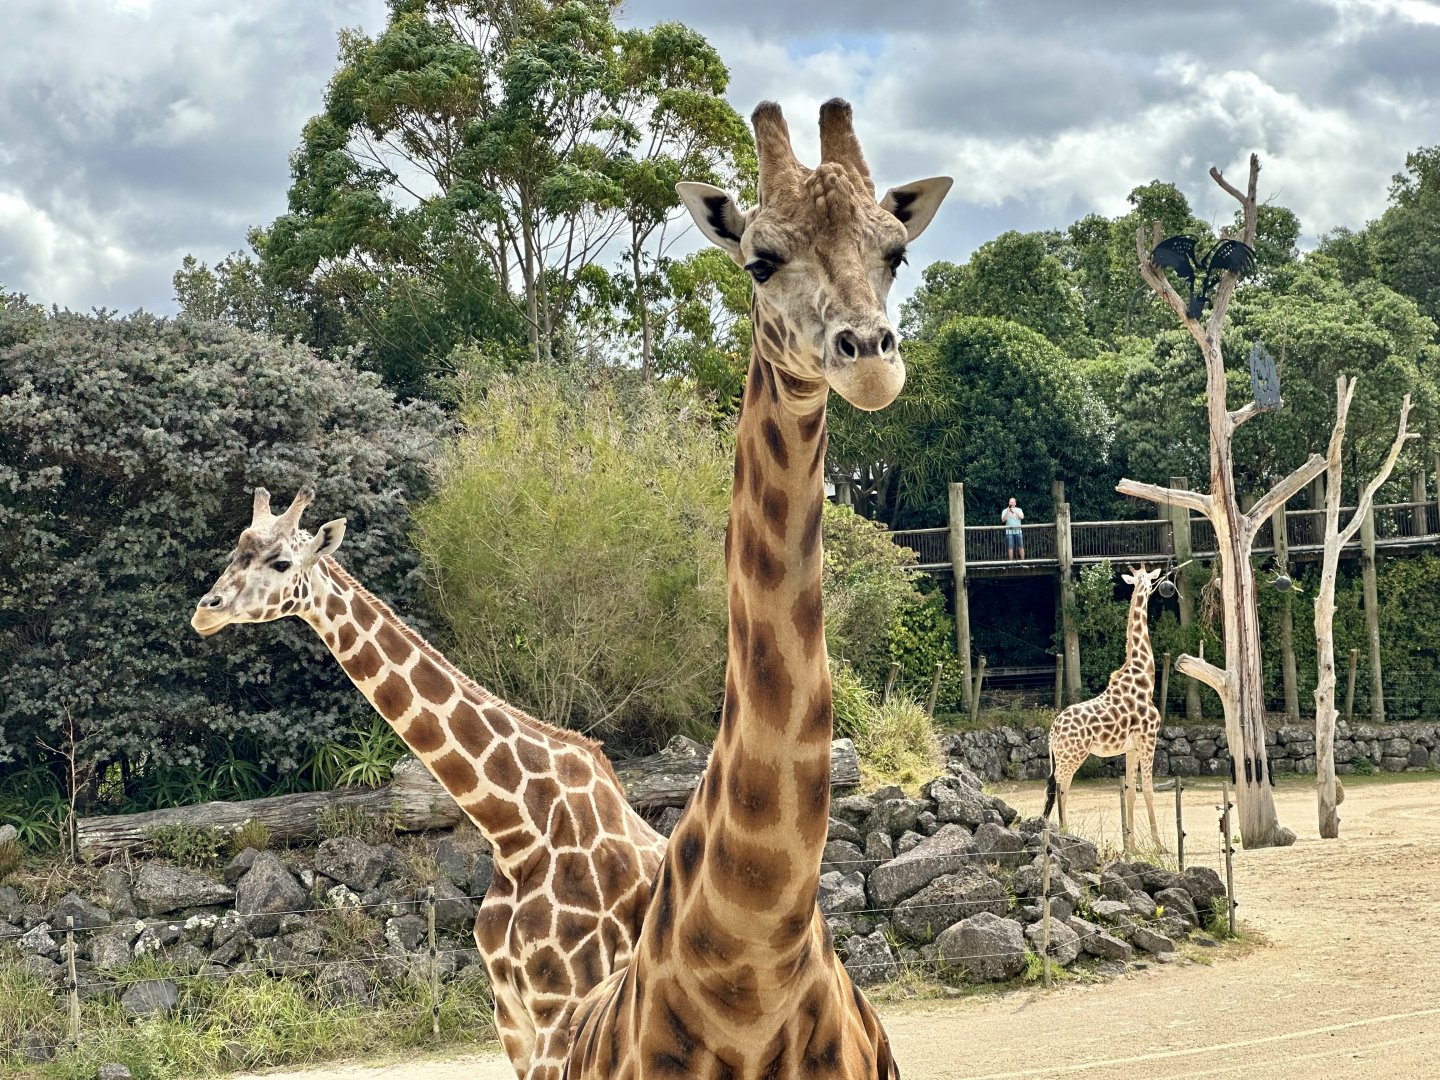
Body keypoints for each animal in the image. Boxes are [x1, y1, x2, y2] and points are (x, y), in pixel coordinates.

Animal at [191, 486, 666, 1080]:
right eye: (236, 548)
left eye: (281, 563)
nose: (203, 612)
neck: (518, 830)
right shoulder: (512, 1017)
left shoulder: (564, 1010)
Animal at [1044, 564, 1168, 851]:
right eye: (1150, 581)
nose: (1154, 589)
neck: (1145, 677)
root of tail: (1052, 731)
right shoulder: (1149, 738)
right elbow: (1149, 789)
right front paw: (1160, 847)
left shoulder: (1131, 747)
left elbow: (1130, 791)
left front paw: (1131, 848)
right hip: (1073, 755)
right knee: (1061, 786)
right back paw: (1064, 831)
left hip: (1061, 756)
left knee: (1054, 787)